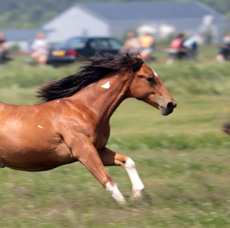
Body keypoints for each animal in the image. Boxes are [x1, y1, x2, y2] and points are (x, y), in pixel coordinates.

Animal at [0, 54, 176, 204]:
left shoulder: (99, 149)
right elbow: (108, 181)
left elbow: (128, 161)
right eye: (149, 78)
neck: (84, 110)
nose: (171, 104)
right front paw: (125, 206)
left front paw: (137, 194)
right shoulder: (84, 151)